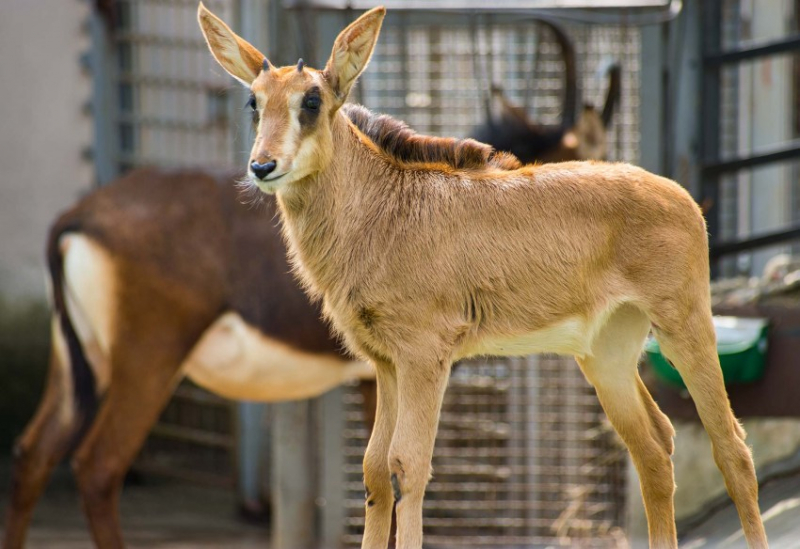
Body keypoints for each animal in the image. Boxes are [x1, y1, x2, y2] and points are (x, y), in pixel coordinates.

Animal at [198, 5, 768, 548]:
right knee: (653, 447)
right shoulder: (384, 362)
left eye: (312, 101)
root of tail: (686, 201)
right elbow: (374, 470)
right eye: (254, 102)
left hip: (685, 325)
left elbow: (408, 466)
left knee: (733, 448)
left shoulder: (426, 355)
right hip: (606, 353)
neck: (383, 206)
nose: (262, 167)